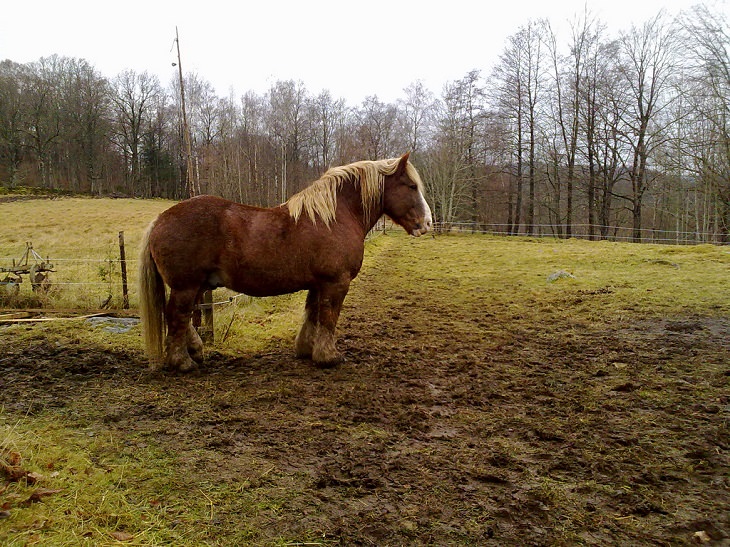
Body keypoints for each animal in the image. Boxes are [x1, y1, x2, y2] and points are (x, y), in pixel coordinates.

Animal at [139, 152, 430, 372]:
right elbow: (328, 317)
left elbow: (312, 314)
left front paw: (306, 350)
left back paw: (196, 351)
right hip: (186, 286)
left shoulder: (318, 283)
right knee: (177, 316)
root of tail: (160, 219)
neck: (334, 217)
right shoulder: (336, 283)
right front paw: (329, 356)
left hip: (198, 285)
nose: (426, 223)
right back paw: (183, 362)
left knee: (184, 317)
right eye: (411, 186)